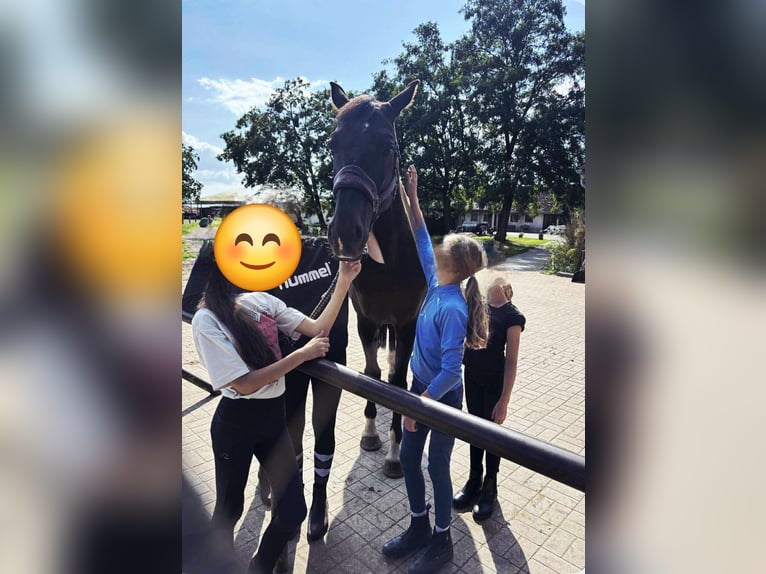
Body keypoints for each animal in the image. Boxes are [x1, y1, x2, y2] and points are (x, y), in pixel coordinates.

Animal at [327, 80, 427, 478]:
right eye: (333, 143)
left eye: (389, 146)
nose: (345, 234)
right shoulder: (366, 321)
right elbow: (371, 375)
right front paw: (371, 434)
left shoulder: (407, 323)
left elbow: (398, 383)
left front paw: (396, 453)